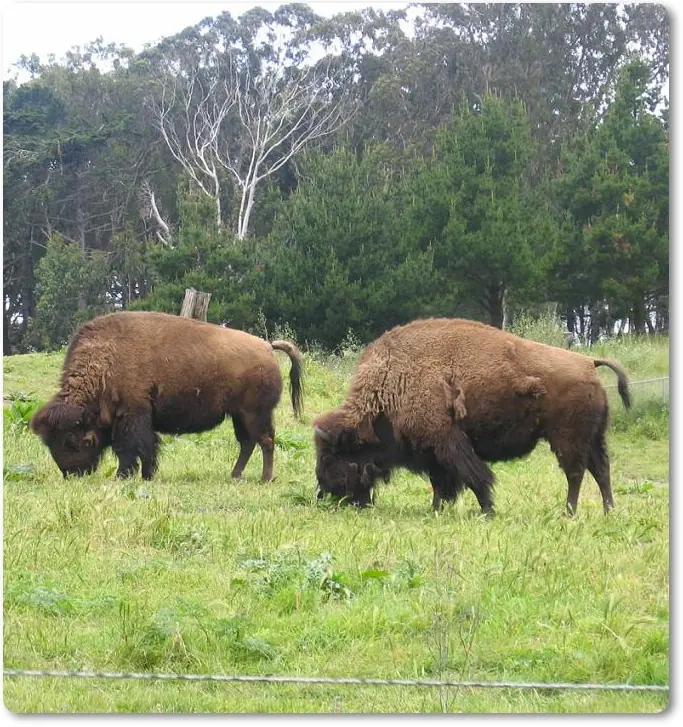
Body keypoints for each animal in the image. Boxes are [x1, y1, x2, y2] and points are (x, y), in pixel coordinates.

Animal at [31, 311, 304, 482]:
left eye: (72, 440)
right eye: (49, 443)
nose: (71, 473)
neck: (105, 362)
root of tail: (267, 347)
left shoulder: (131, 416)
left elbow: (130, 449)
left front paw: (126, 476)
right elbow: (147, 447)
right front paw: (147, 475)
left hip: (255, 414)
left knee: (265, 441)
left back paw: (265, 478)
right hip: (239, 415)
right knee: (247, 443)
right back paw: (235, 475)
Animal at [314, 317, 631, 516]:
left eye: (331, 456)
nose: (325, 492)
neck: (392, 384)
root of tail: (589, 362)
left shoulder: (448, 443)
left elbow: (474, 477)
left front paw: (487, 510)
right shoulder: (433, 452)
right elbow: (441, 483)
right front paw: (437, 509)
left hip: (567, 439)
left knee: (576, 473)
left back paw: (569, 513)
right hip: (593, 438)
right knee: (601, 470)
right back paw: (608, 511)